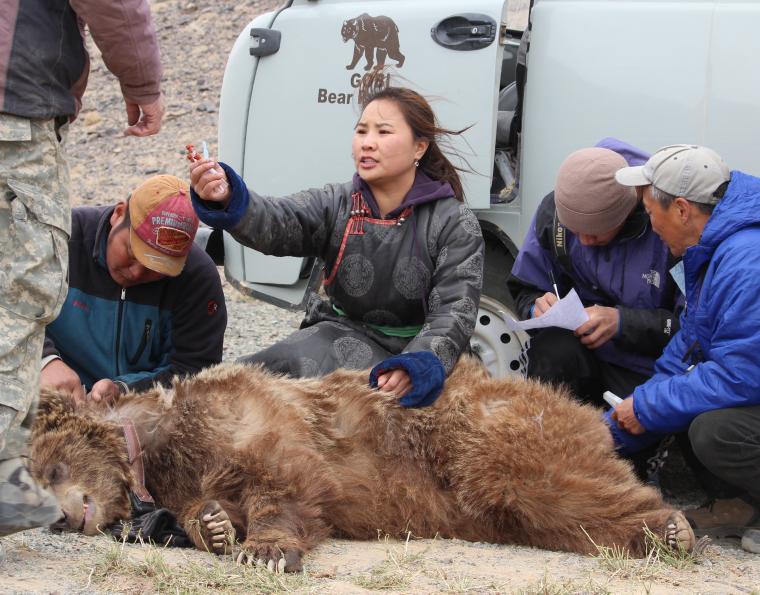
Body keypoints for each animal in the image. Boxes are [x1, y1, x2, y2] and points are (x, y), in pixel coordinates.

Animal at [28, 356, 696, 572]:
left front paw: (266, 548)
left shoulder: (253, 420)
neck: (157, 449)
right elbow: (208, 505)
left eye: (50, 468)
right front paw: (214, 525)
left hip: (489, 439)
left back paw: (670, 528)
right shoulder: (191, 471)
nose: (61, 518)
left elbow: (287, 481)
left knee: (556, 485)